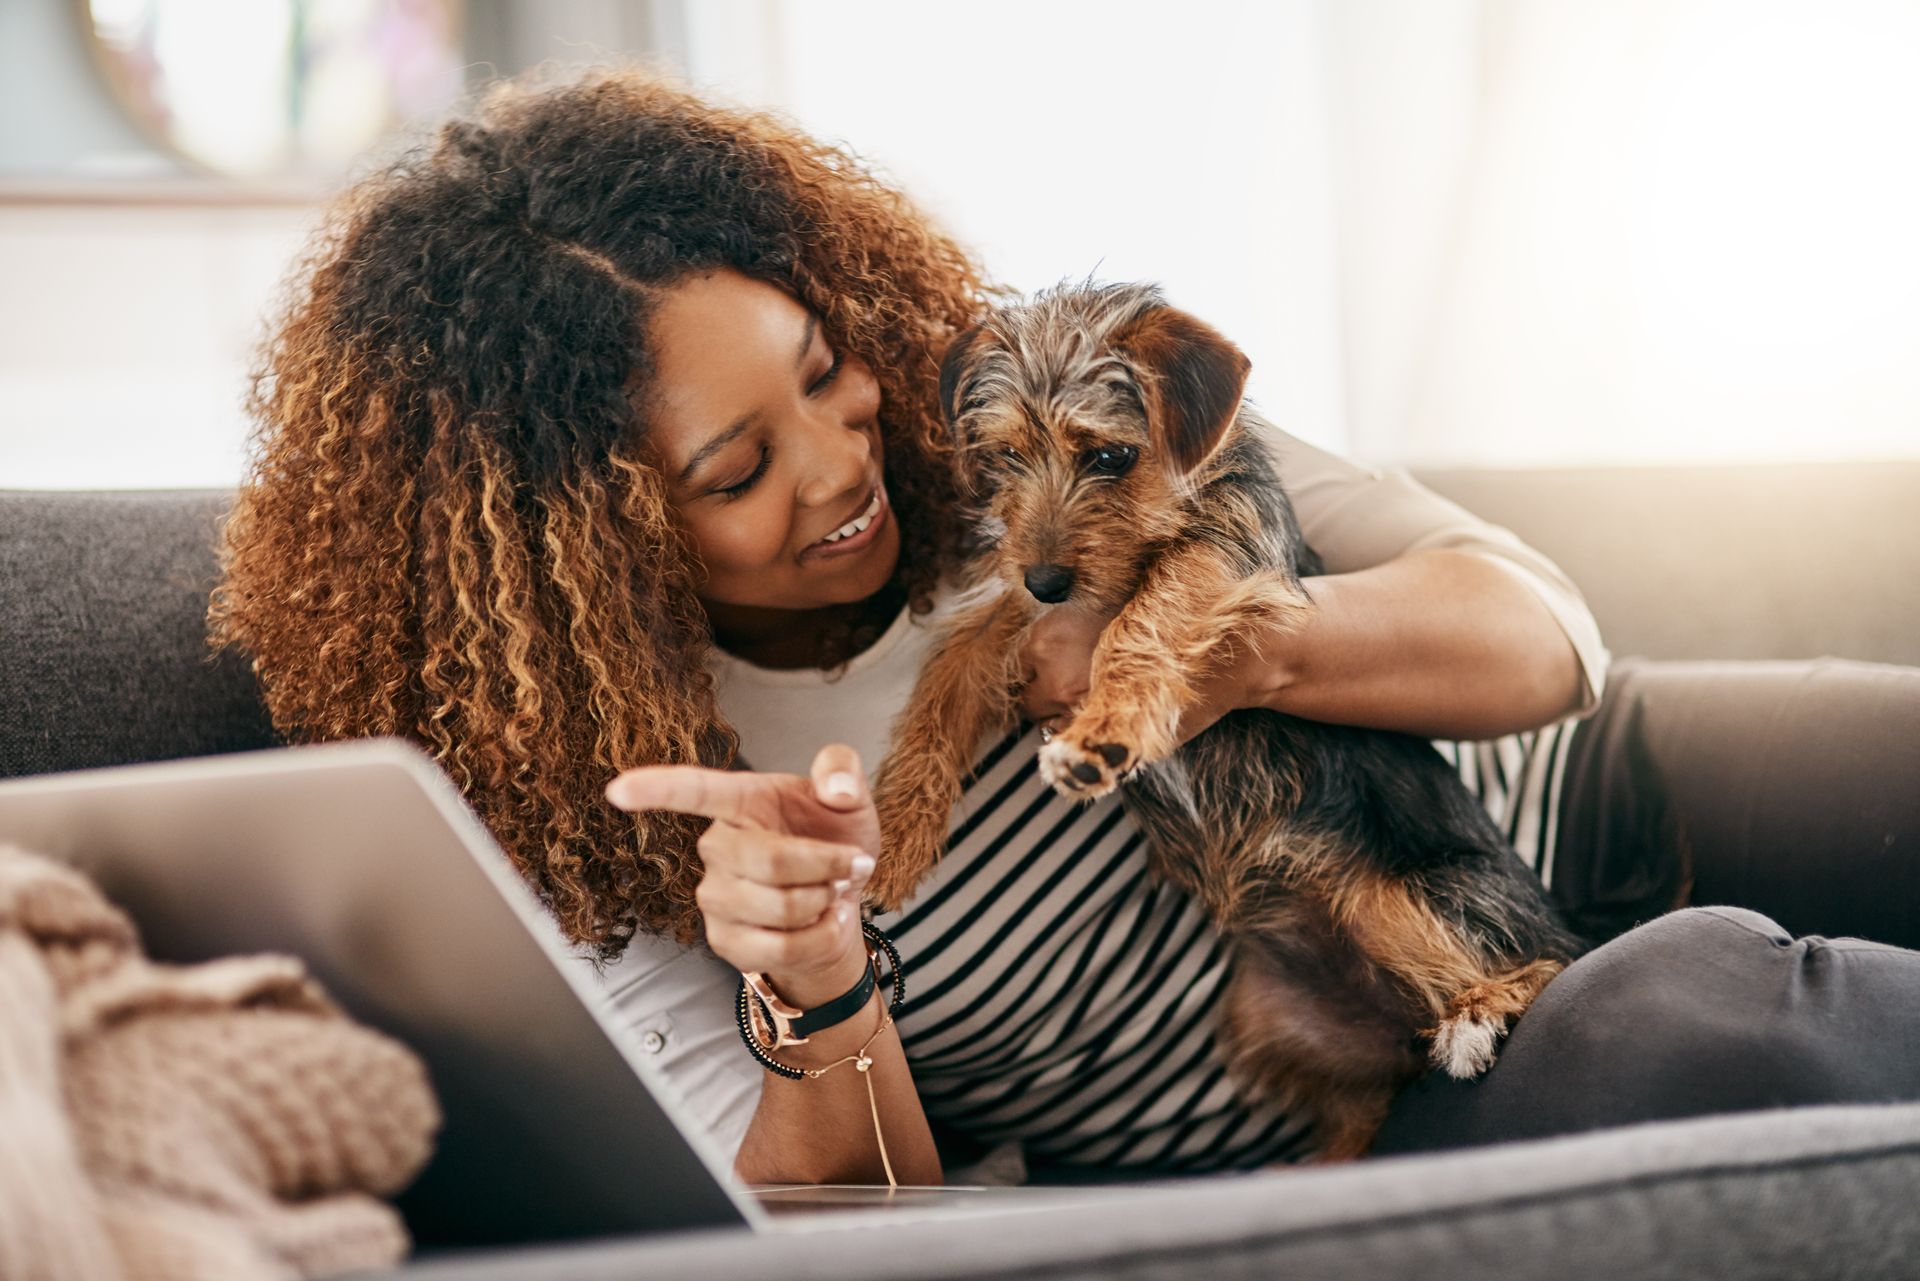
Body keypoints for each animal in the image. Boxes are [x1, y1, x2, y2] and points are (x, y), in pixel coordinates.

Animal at [871, 280, 1589, 1160]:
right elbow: (942, 685)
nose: (1044, 579)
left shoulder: (1228, 553)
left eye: (1109, 456)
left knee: (1552, 962)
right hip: (1268, 1014)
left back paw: (1482, 1012)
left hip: (1402, 894)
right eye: (1005, 456)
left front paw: (1103, 730)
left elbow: (1152, 607)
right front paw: (894, 840)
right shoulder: (1010, 625)